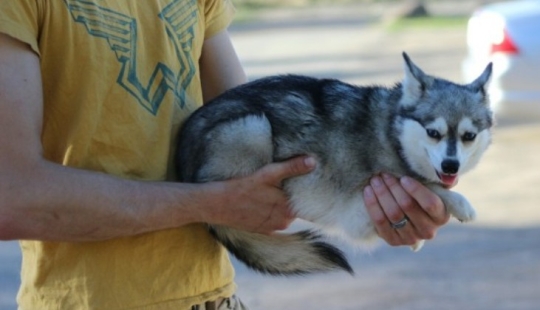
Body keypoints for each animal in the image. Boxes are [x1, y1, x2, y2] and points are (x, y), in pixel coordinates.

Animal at [177, 52, 494, 276]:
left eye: (468, 136)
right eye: (433, 133)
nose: (451, 166)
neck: (392, 132)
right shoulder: (359, 207)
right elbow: (427, 187)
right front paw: (459, 202)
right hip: (253, 127)